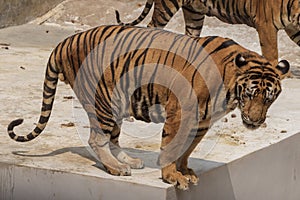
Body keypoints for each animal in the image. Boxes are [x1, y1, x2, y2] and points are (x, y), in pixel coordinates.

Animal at [6, 25, 288, 191]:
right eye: (250, 93)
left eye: (269, 98)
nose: (255, 121)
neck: (228, 87)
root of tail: (64, 41)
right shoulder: (181, 113)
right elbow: (173, 146)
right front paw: (172, 176)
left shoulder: (202, 122)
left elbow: (187, 149)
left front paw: (185, 170)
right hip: (104, 100)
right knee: (97, 139)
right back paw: (117, 169)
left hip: (117, 103)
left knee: (112, 138)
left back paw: (128, 160)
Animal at [115, 0, 300, 63]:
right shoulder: (266, 26)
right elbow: (271, 54)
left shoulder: (294, 29)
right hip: (166, 7)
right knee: (151, 28)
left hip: (194, 14)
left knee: (190, 36)